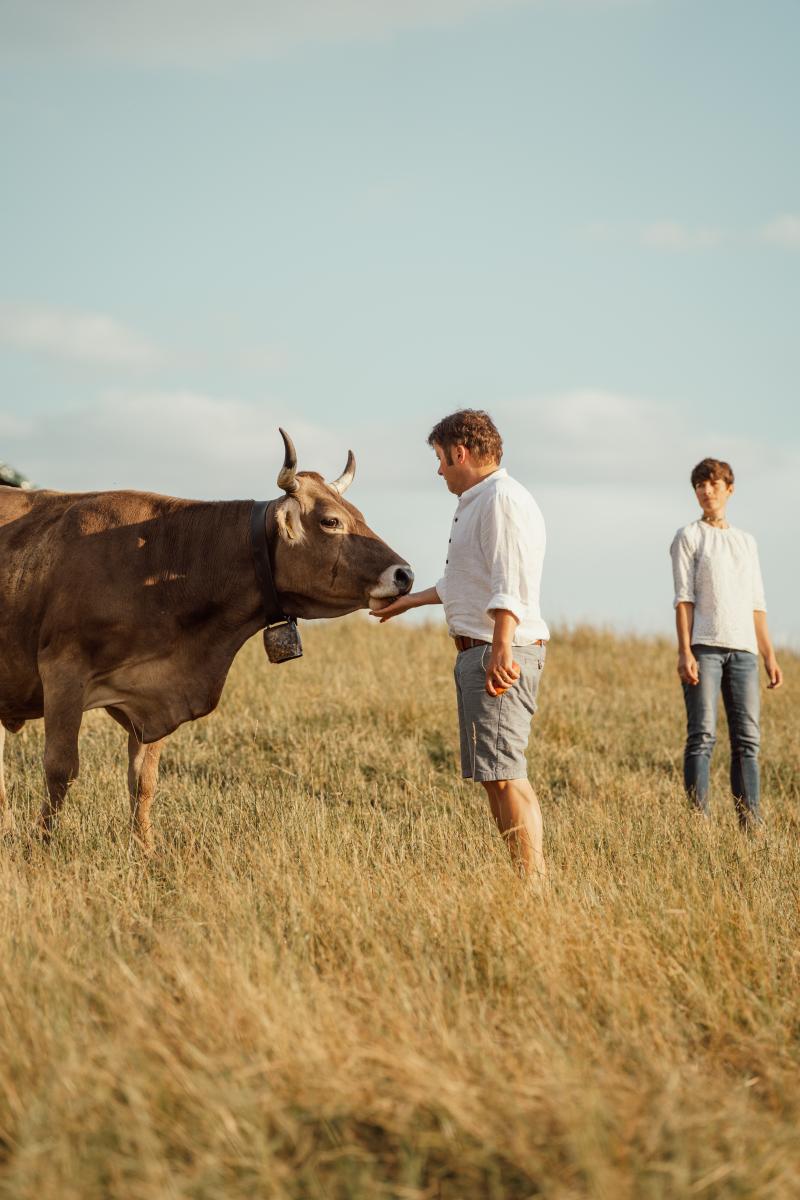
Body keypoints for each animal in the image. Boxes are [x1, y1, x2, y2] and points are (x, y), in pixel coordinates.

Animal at [0, 427, 412, 849]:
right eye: (331, 521)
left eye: (359, 515)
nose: (404, 574)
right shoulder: (62, 672)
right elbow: (60, 768)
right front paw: (43, 843)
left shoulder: (153, 694)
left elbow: (143, 779)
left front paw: (144, 847)